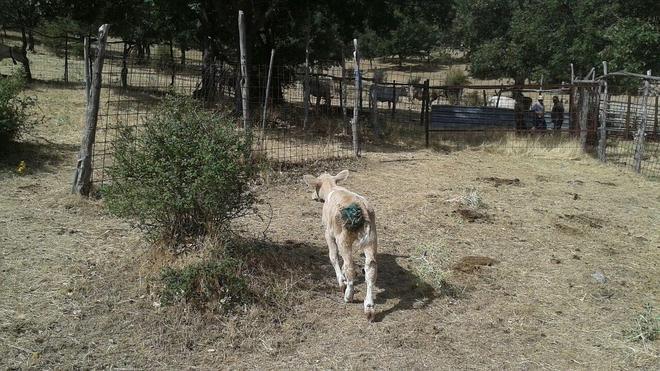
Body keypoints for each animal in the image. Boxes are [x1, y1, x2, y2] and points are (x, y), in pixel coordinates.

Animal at [302, 170, 378, 322]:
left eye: (315, 186)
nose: (312, 196)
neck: (332, 187)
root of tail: (359, 208)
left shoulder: (328, 233)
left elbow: (333, 256)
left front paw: (341, 281)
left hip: (343, 238)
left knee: (349, 266)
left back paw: (348, 294)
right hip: (371, 236)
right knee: (371, 268)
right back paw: (369, 307)